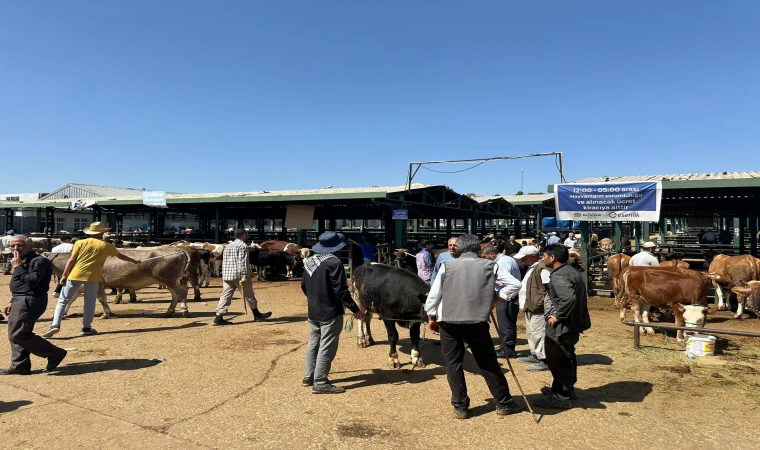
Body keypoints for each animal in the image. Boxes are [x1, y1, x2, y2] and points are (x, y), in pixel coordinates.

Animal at [45, 250, 190, 316]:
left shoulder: (98, 284)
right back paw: (170, 311)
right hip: (170, 280)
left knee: (182, 291)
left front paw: (106, 314)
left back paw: (183, 310)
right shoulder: (79, 287)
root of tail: (179, 251)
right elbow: (70, 300)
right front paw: (64, 313)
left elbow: (101, 299)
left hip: (169, 279)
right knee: (176, 294)